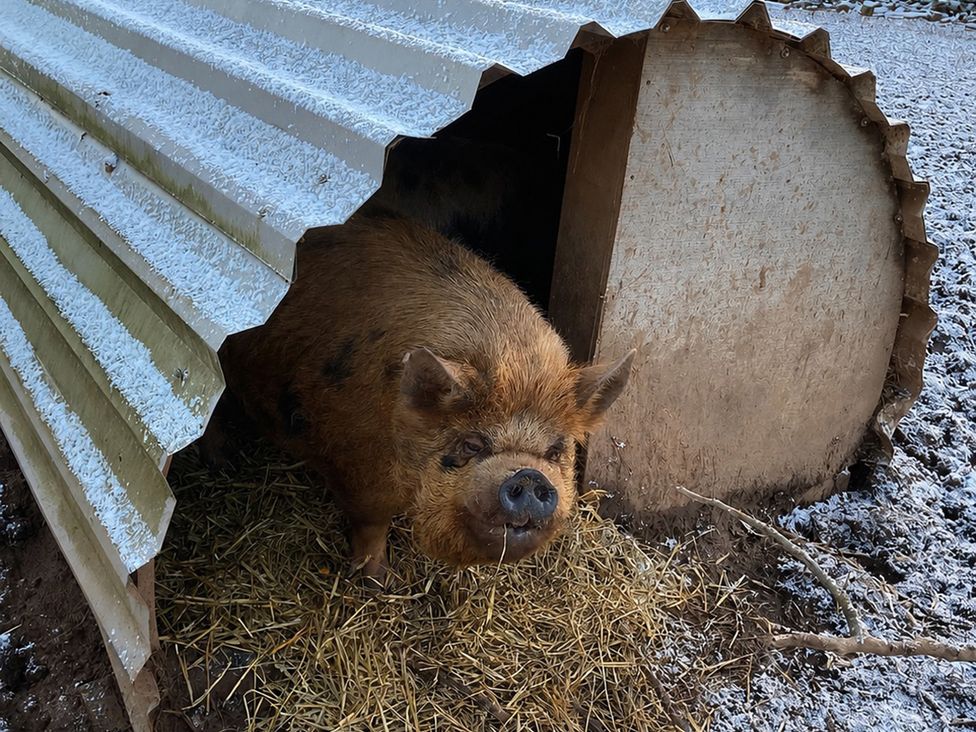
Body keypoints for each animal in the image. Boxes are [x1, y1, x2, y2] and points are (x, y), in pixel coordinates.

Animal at [207, 214, 634, 579]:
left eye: (556, 450)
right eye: (472, 444)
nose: (529, 476)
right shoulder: (356, 464)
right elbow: (370, 522)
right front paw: (376, 580)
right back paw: (224, 461)